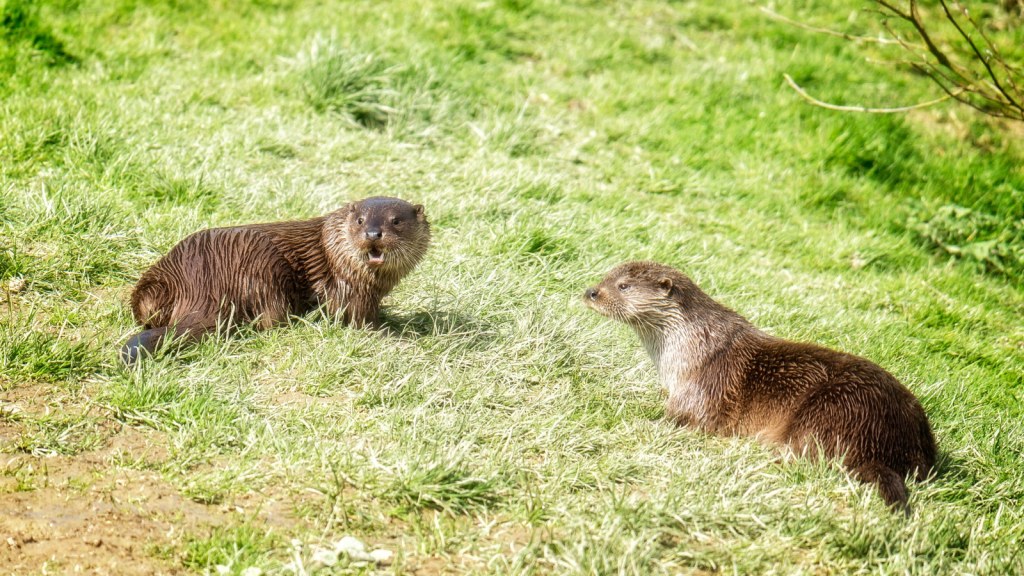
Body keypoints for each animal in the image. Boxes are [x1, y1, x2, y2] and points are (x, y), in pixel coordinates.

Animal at [121, 194, 430, 360]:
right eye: (360, 220)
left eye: (396, 221)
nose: (373, 233)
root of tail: (201, 277)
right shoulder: (349, 290)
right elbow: (360, 321)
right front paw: (398, 335)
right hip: (264, 264)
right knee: (270, 320)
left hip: (156, 285)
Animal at [585, 260, 937, 506]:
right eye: (606, 276)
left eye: (623, 285)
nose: (591, 292)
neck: (692, 346)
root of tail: (885, 439)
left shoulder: (705, 388)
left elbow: (680, 419)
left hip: (833, 406)